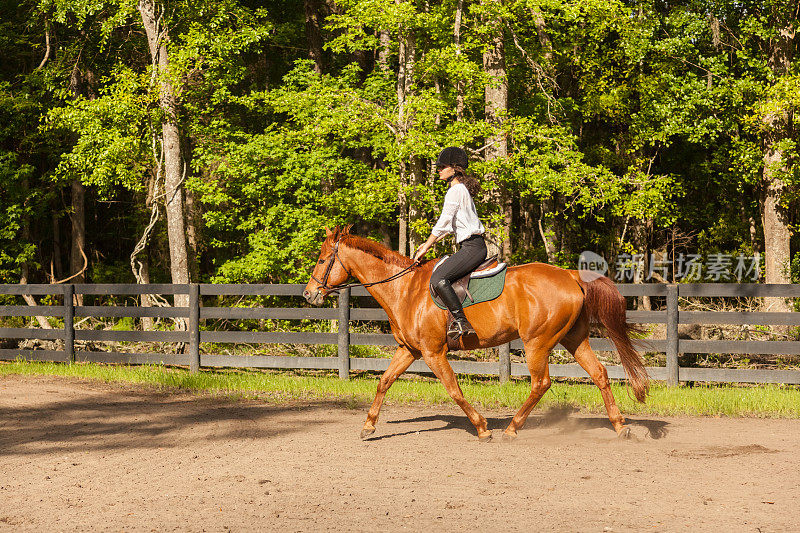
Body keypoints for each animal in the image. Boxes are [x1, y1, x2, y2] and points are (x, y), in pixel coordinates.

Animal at [304, 225, 648, 440]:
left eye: (322, 259)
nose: (309, 295)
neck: (405, 290)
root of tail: (569, 274)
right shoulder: (409, 350)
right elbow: (384, 382)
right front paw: (368, 426)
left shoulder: (432, 353)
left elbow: (454, 389)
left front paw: (482, 428)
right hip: (573, 339)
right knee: (600, 373)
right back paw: (620, 426)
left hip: (537, 343)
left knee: (541, 383)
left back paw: (512, 428)